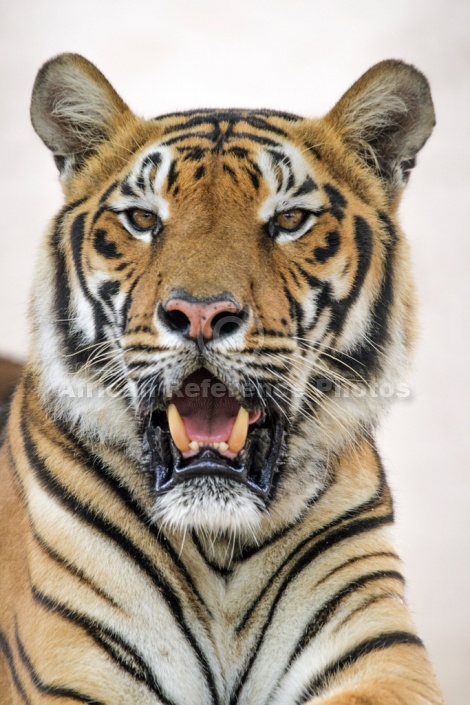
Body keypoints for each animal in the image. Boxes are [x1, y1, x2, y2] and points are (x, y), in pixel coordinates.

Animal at [0, 55, 444, 704]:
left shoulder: (382, 656)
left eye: (289, 220)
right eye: (142, 219)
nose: (201, 314)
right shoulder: (72, 670)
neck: (221, 549)